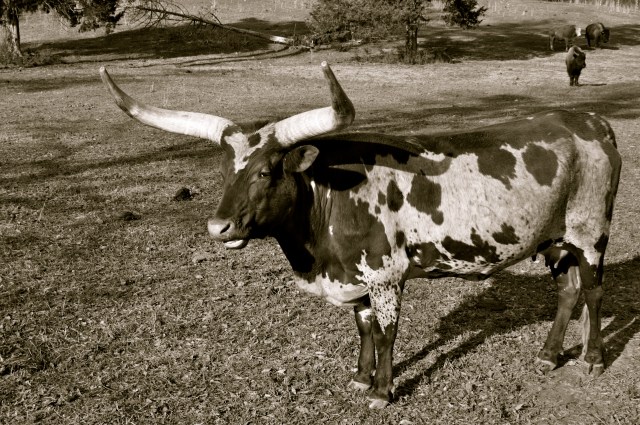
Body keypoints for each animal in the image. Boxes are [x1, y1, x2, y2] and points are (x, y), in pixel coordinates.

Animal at [100, 63, 621, 409]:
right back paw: (549, 355)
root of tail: (592, 122)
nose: (218, 227)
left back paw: (592, 358)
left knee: (594, 291)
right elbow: (364, 325)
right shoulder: (355, 275)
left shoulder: (386, 274)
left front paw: (382, 390)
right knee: (567, 291)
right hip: (553, 239)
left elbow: (388, 332)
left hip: (590, 232)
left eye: (267, 171)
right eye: (226, 171)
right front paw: (359, 376)